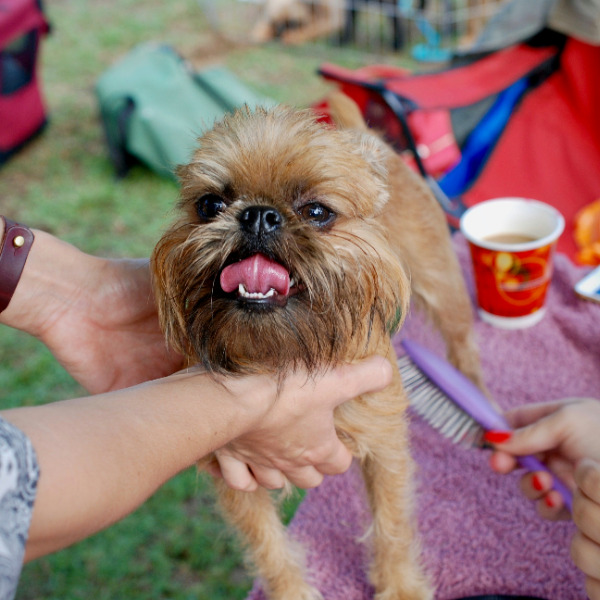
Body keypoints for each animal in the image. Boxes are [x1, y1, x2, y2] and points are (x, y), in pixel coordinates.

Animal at [152, 94, 486, 600]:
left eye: (317, 212)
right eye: (209, 205)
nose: (258, 214)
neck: (285, 359)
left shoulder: (385, 446)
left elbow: (391, 524)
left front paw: (400, 586)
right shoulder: (237, 475)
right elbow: (269, 548)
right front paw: (292, 592)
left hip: (442, 285)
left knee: (464, 345)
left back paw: (475, 400)